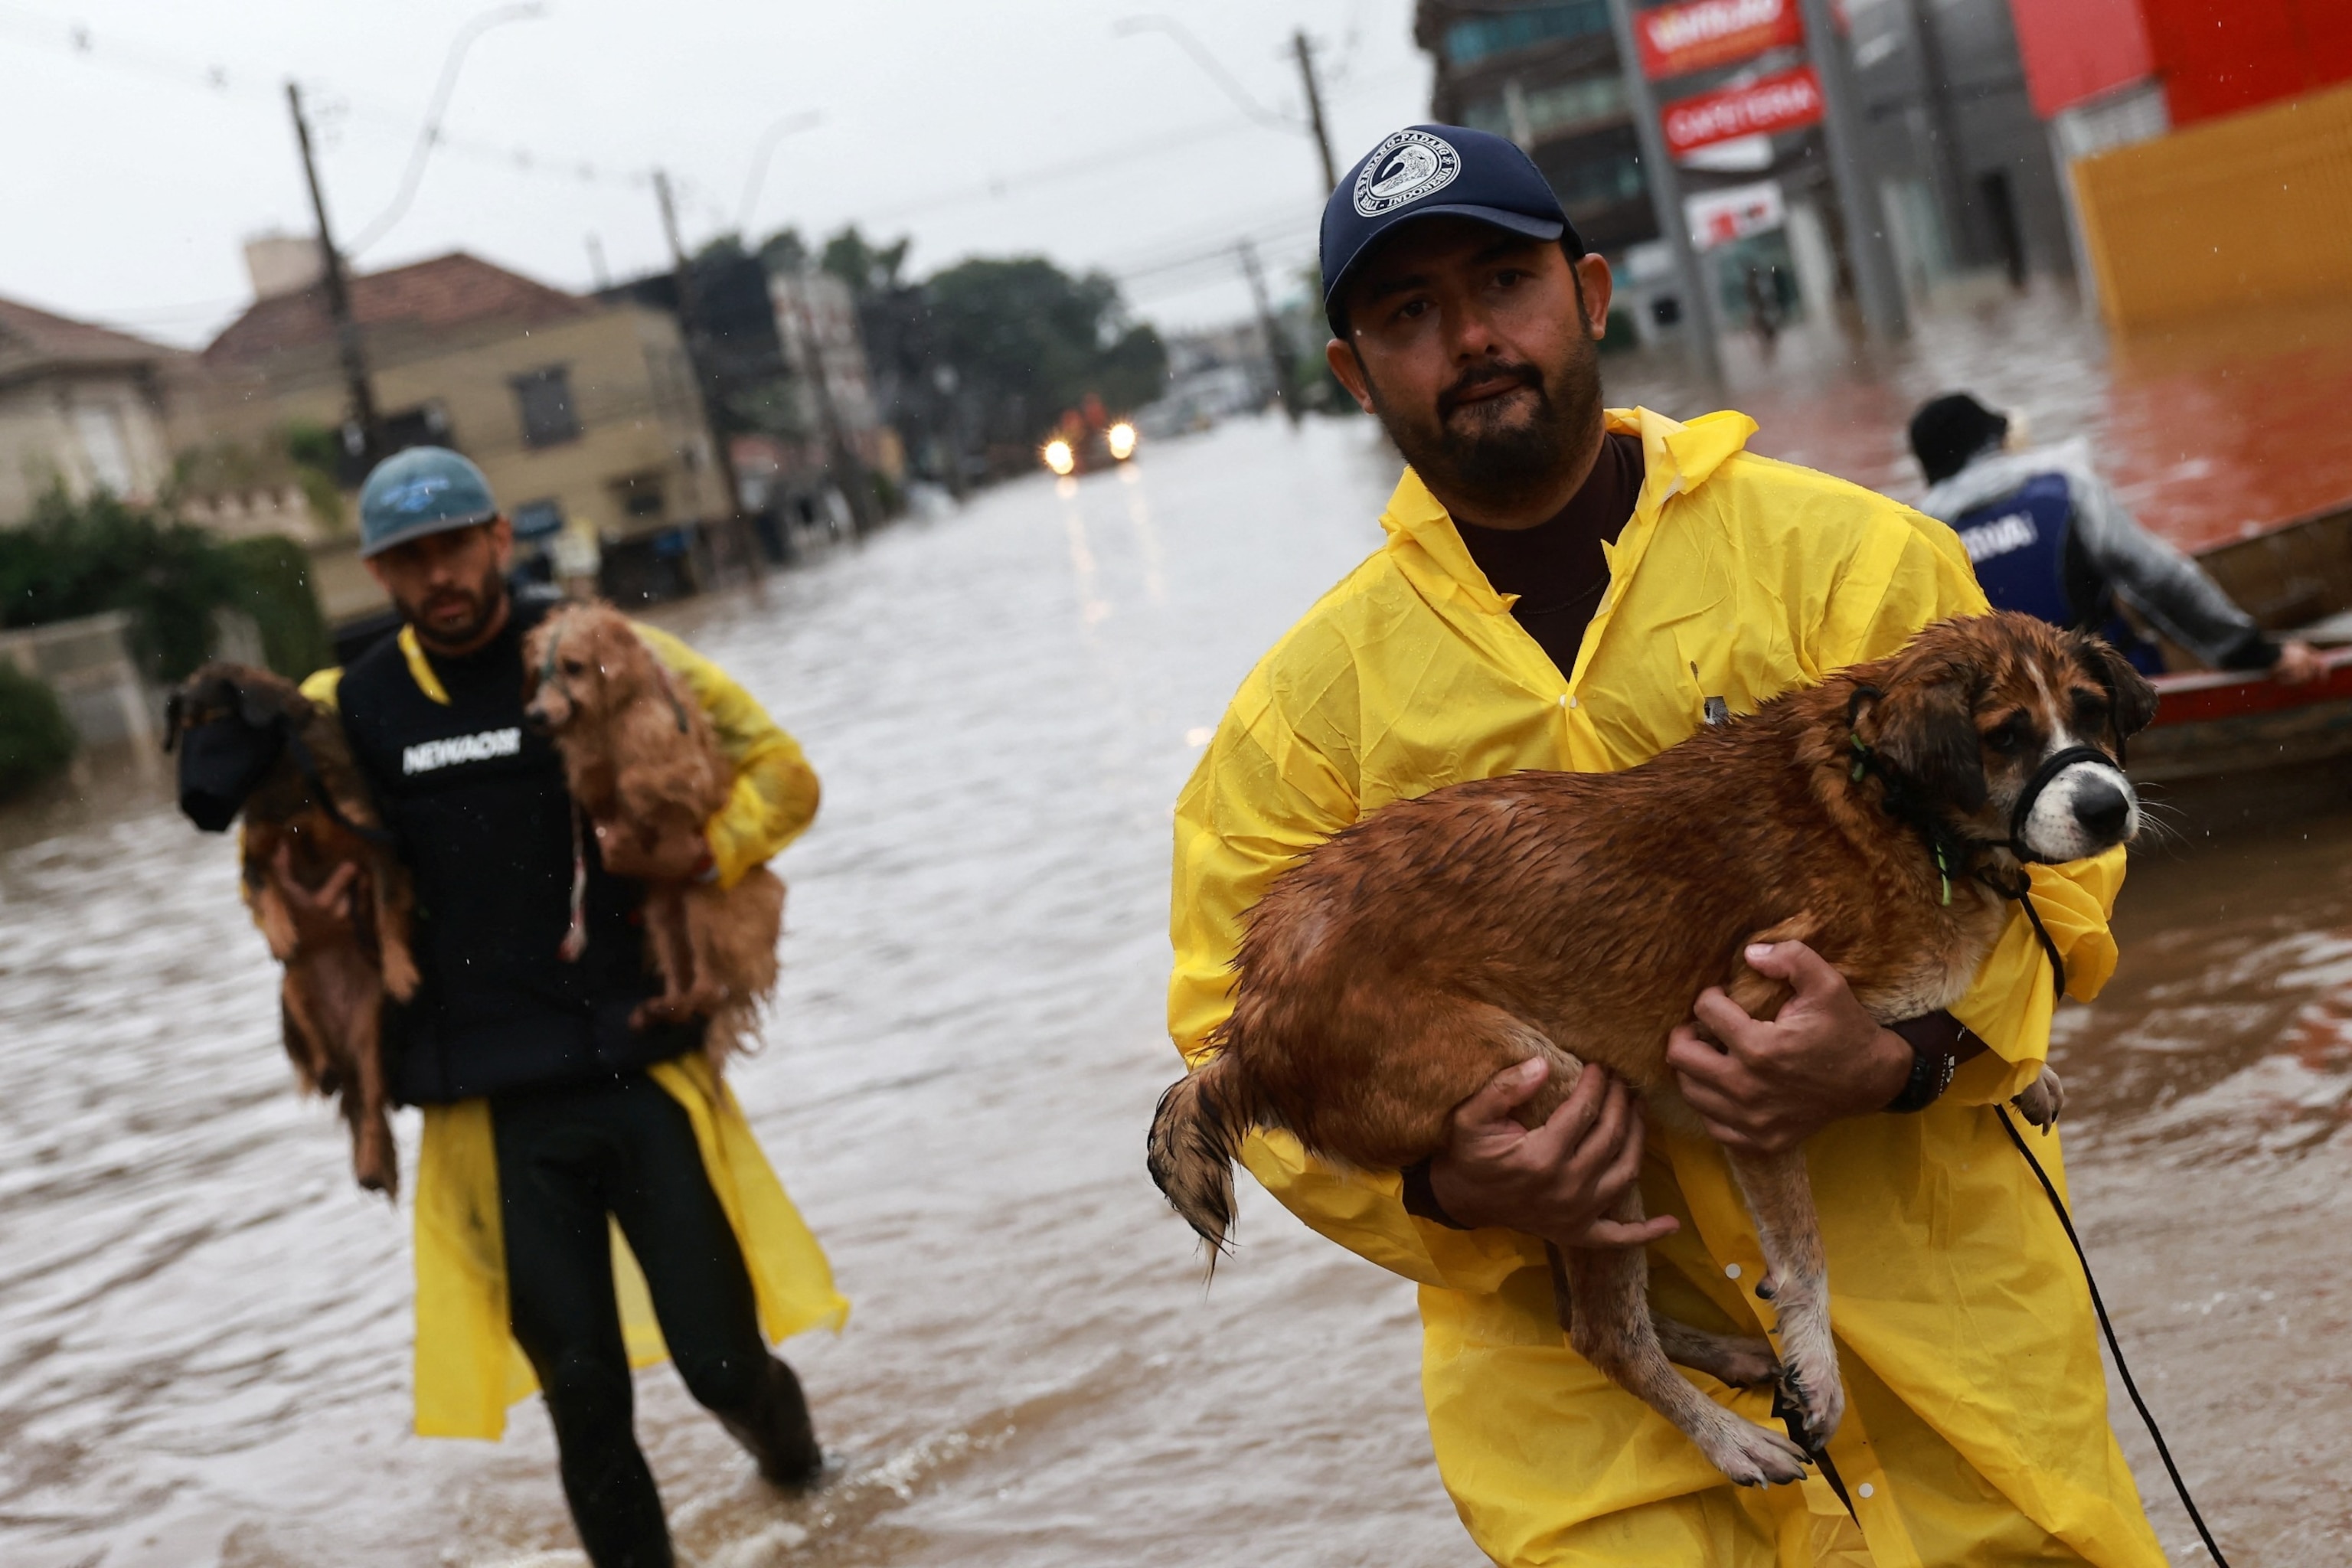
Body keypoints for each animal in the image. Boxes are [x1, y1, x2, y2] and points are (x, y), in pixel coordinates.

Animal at [165, 658, 418, 1189]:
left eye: (217, 723)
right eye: (183, 732)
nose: (194, 802)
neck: (282, 778)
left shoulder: (377, 847)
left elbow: (388, 912)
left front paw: (401, 970)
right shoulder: (257, 852)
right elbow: (265, 888)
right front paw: (282, 933)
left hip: (373, 1029)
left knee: (369, 1095)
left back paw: (369, 1156)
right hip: (291, 996)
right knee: (325, 1069)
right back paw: (325, 1070)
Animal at [519, 606, 786, 1067]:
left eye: (574, 667)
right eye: (540, 671)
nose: (535, 715)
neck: (614, 714)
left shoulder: (684, 769)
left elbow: (638, 778)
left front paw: (638, 804)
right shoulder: (588, 773)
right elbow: (593, 781)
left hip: (703, 904)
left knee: (708, 988)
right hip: (662, 916)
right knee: (685, 986)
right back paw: (659, 1008)